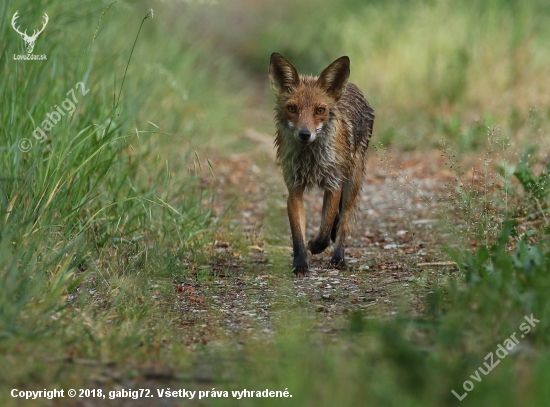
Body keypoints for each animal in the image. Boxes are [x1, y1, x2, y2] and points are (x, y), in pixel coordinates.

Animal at [270, 52, 376, 276]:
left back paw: (338, 258)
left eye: (320, 110)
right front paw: (300, 264)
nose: (304, 134)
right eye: (292, 108)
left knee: (343, 224)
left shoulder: (334, 185)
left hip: (352, 182)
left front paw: (315, 245)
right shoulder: (294, 189)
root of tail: (351, 86)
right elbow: (297, 234)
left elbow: (326, 232)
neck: (311, 161)